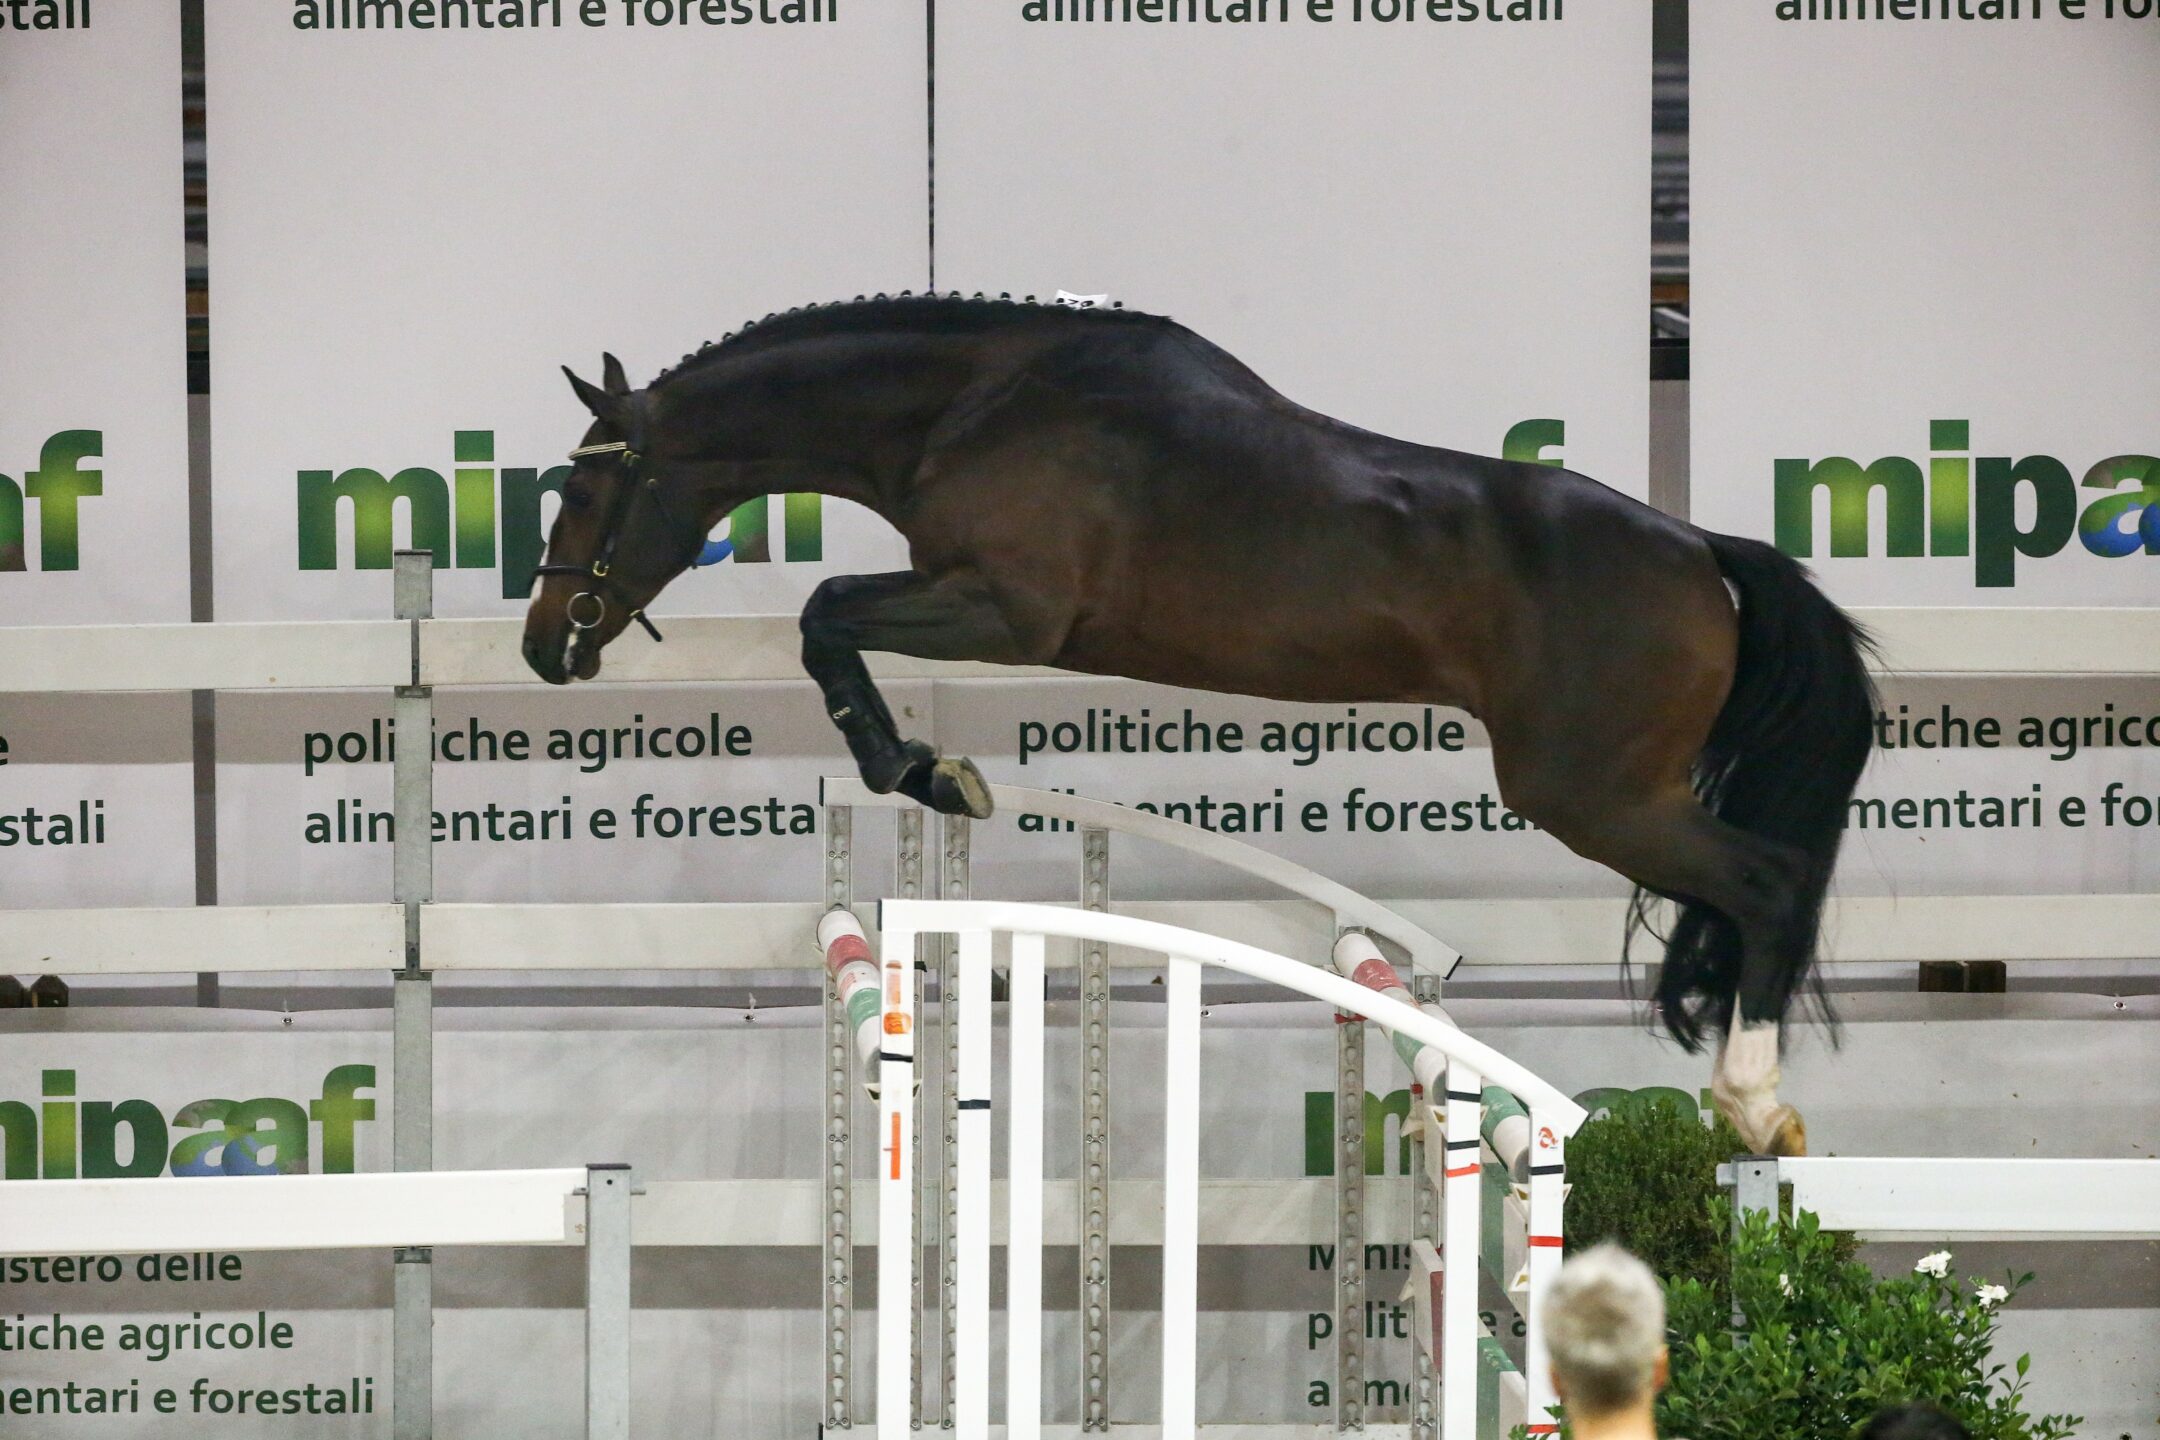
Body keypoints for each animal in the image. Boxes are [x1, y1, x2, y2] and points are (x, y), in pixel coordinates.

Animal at [521, 293, 1876, 1156]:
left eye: (583, 486)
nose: (546, 645)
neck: (971, 405)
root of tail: (1702, 550)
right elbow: (829, 620)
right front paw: (930, 767)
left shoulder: (1006, 612)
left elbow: (823, 616)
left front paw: (925, 770)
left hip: (1590, 796)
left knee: (1767, 884)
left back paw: (1753, 1105)